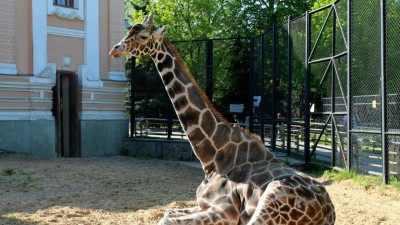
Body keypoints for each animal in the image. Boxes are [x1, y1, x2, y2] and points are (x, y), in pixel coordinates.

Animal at [109, 14, 334, 224]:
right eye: (129, 31)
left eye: (143, 36)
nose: (115, 49)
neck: (213, 159)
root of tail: (329, 210)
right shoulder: (202, 205)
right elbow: (167, 212)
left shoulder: (225, 211)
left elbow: (164, 219)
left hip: (271, 199)